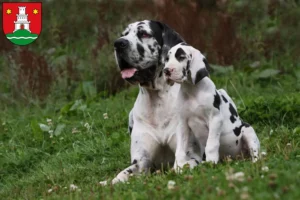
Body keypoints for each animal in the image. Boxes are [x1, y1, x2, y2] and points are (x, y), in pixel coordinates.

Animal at [99, 19, 186, 184]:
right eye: (124, 34)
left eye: (144, 34)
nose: (118, 43)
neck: (156, 101)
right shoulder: (140, 162)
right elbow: (121, 175)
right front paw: (110, 182)